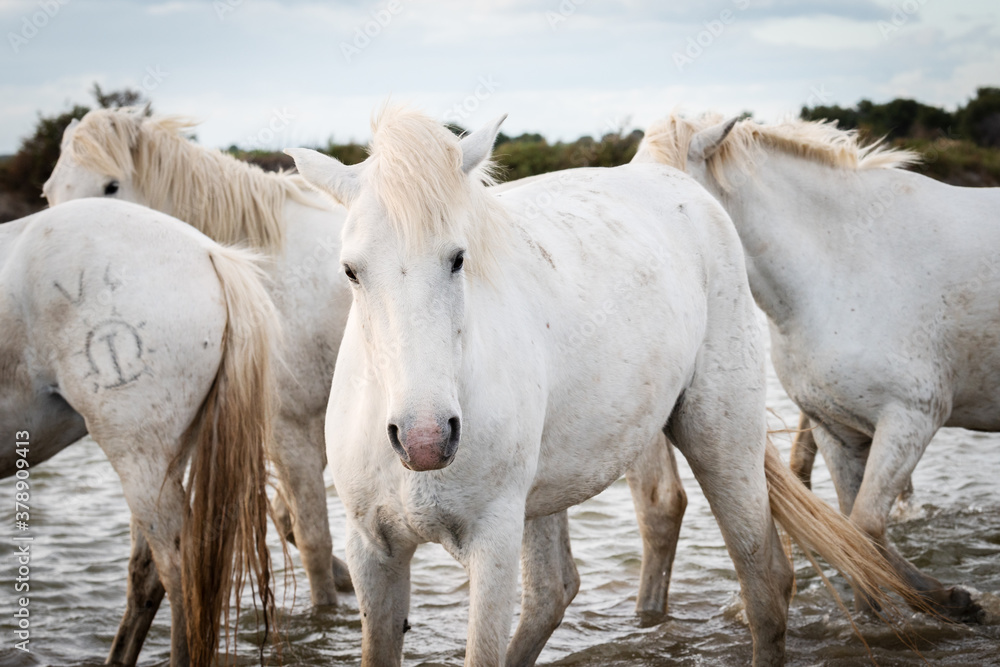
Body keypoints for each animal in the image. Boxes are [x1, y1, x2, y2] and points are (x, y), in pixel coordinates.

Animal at [287, 104, 917, 667]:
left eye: (457, 258)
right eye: (350, 271)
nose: (425, 439)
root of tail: (675, 182)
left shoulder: (491, 548)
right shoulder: (373, 552)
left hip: (721, 443)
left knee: (764, 583)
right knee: (553, 593)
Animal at [633, 112, 999, 621]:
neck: (841, 263)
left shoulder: (912, 417)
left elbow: (863, 527)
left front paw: (948, 600)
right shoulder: (836, 427)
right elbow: (855, 535)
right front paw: (903, 609)